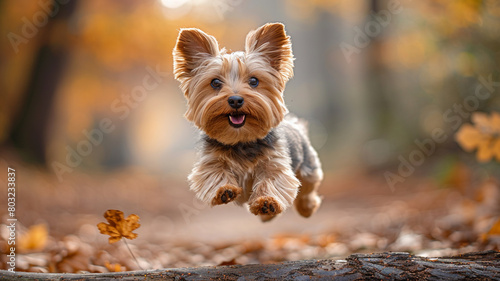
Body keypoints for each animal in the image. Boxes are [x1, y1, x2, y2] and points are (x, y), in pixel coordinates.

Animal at [173, 22, 324, 221]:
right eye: (215, 83)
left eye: (254, 81)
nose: (235, 100)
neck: (241, 139)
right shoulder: (210, 161)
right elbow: (214, 173)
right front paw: (224, 190)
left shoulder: (275, 162)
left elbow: (274, 180)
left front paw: (267, 202)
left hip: (308, 164)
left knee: (308, 187)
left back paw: (306, 208)